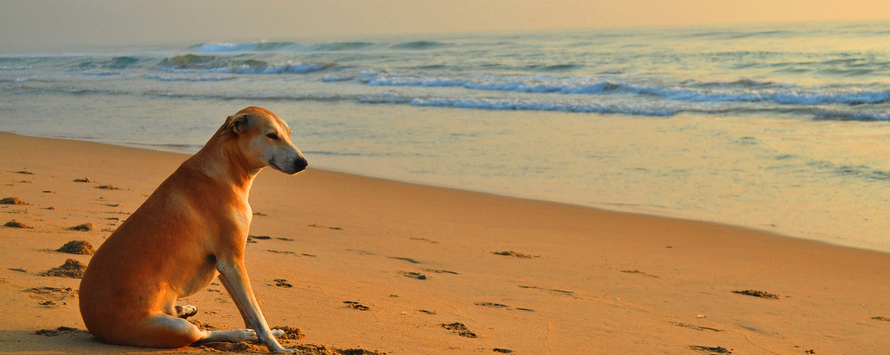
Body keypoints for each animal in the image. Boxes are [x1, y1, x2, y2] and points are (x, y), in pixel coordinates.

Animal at [80, 106, 308, 354]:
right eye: (271, 135)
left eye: (288, 133)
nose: (303, 163)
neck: (224, 170)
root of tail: (93, 325)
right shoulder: (232, 262)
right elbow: (257, 315)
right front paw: (276, 346)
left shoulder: (226, 268)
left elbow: (250, 313)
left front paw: (266, 335)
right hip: (174, 329)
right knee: (200, 335)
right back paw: (238, 333)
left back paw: (186, 310)